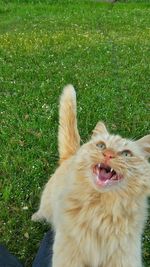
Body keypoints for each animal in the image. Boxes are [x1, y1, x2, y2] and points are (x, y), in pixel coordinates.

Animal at [32, 85, 149, 267]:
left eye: (126, 154)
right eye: (101, 145)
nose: (108, 154)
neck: (100, 209)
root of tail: (71, 154)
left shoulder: (124, 257)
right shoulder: (68, 255)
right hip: (47, 203)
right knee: (42, 211)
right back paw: (36, 218)